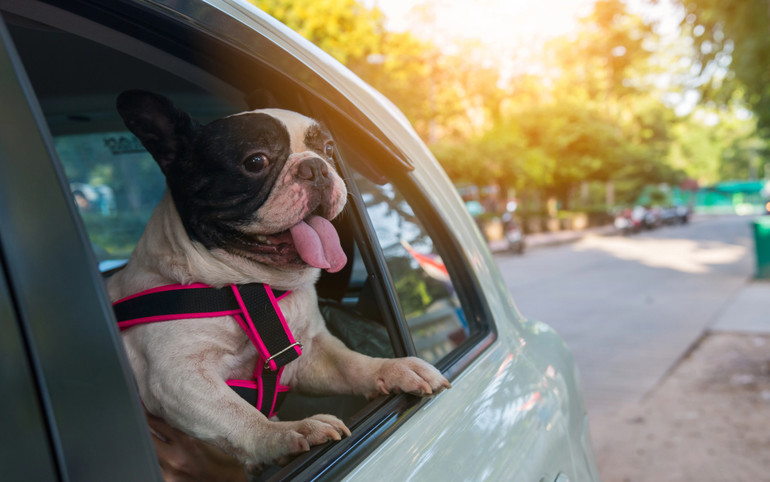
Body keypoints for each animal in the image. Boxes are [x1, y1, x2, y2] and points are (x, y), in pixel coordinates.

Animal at [105, 90, 448, 470]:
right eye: (255, 161)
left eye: (329, 149)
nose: (316, 167)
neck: (249, 287)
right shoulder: (178, 376)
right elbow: (236, 414)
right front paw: (284, 432)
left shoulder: (311, 352)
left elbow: (351, 363)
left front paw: (394, 368)